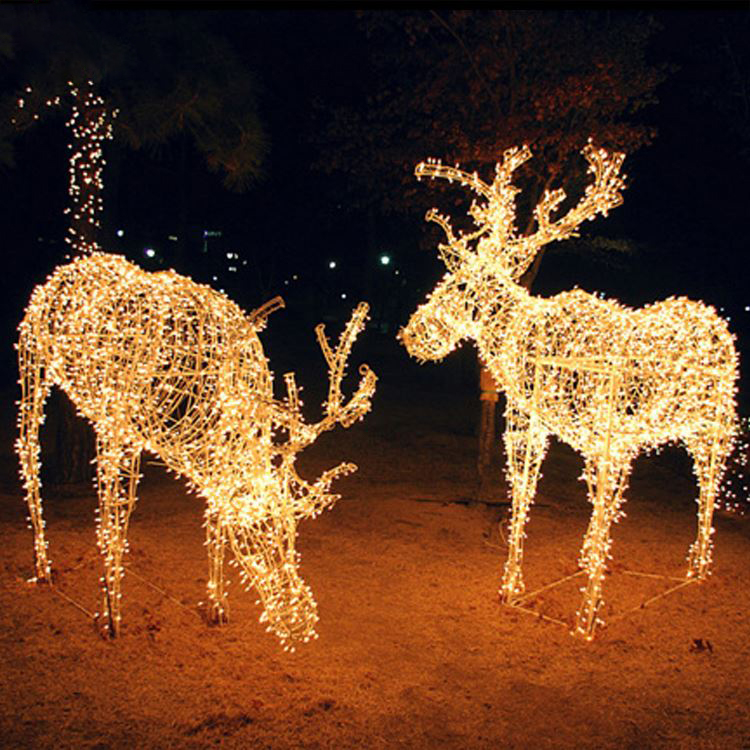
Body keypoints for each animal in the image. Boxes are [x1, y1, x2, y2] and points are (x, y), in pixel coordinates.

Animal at [17, 252, 377, 649]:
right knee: (29, 453)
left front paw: (217, 607)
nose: (300, 621)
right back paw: (43, 568)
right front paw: (110, 618)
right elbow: (112, 523)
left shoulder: (210, 462)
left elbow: (210, 525)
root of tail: (71, 267)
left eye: (292, 533)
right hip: (33, 363)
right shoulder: (116, 431)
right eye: (255, 534)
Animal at [400, 142, 738, 639]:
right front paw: (513, 587)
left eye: (458, 284)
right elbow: (527, 497)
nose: (413, 334)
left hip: (710, 427)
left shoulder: (603, 441)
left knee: (709, 487)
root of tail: (721, 328)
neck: (524, 347)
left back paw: (697, 569)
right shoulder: (535, 427)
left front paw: (588, 615)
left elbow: (596, 514)